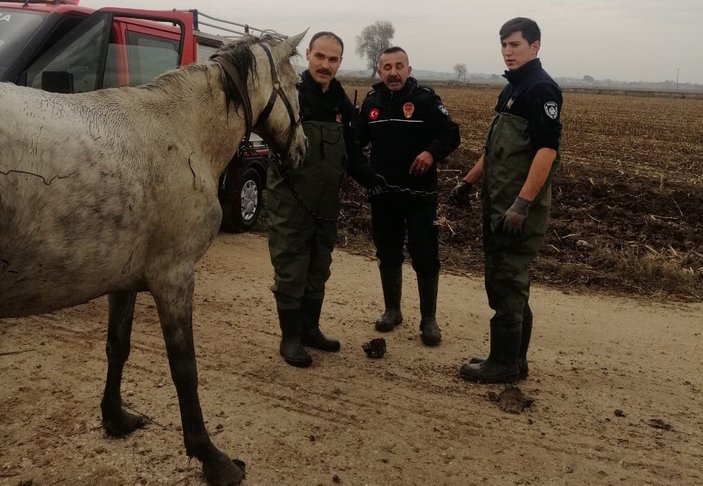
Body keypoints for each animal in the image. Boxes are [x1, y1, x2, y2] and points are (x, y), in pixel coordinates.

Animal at [0, 32, 308, 484]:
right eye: (299, 85)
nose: (302, 150)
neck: (182, 133)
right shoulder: (174, 279)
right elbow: (185, 369)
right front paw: (210, 456)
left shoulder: (122, 279)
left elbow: (117, 346)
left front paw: (115, 417)